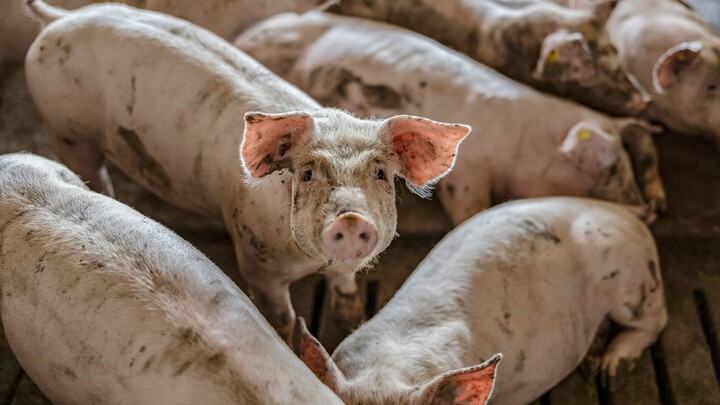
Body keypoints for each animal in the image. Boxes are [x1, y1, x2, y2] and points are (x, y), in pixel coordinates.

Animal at [23, 0, 470, 343]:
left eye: (380, 173)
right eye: (307, 174)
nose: (351, 218)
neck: (309, 263)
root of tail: (58, 18)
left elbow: (345, 285)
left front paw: (349, 321)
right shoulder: (256, 260)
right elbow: (282, 319)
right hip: (66, 131)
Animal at [300, 197, 668, 405]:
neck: (387, 369)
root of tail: (623, 211)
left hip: (632, 279)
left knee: (654, 322)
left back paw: (611, 370)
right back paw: (592, 364)